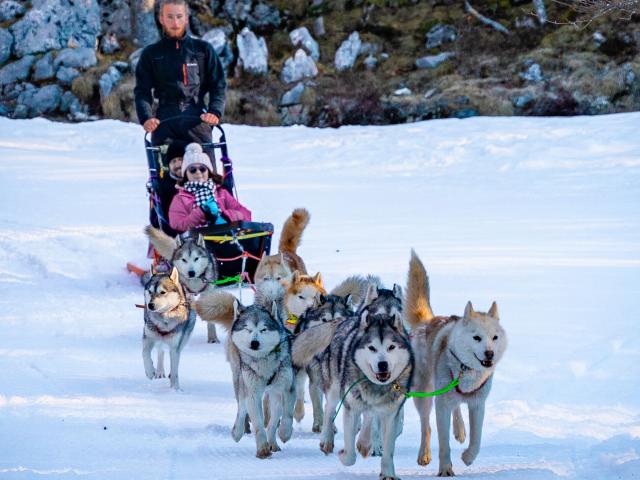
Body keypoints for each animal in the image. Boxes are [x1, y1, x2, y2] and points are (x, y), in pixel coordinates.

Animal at [195, 288, 298, 458]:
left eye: (263, 329)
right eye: (248, 329)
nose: (254, 343)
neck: (264, 361)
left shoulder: (286, 389)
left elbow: (286, 416)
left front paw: (284, 433)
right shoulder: (253, 393)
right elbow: (258, 424)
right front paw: (262, 449)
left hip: (273, 393)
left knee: (274, 417)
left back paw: (274, 442)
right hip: (241, 383)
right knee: (242, 408)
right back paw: (237, 431)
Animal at [404, 251, 510, 476]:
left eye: (494, 337)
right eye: (477, 337)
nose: (489, 354)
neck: (466, 372)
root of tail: (427, 322)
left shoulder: (478, 404)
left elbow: (477, 439)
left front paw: (468, 457)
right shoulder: (441, 405)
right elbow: (443, 443)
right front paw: (445, 469)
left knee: (457, 410)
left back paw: (460, 429)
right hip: (424, 394)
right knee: (426, 425)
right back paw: (424, 454)